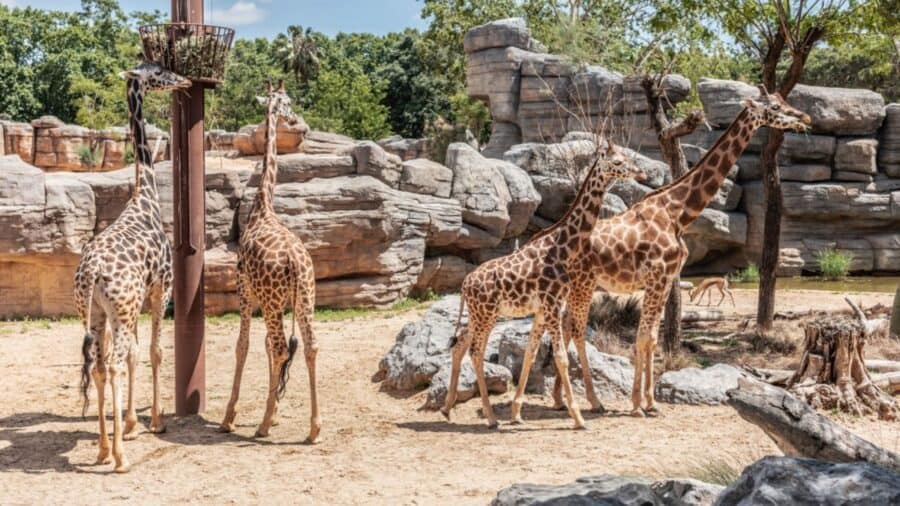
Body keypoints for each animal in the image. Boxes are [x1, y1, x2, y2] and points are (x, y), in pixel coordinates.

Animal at [74, 61, 192, 472]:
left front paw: (130, 424)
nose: (186, 80)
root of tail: (91, 271)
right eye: (158, 72)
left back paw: (102, 449)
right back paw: (120, 458)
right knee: (111, 364)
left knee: (98, 365)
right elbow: (155, 351)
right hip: (121, 310)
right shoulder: (161, 289)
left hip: (94, 312)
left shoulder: (133, 304)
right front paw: (154, 422)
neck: (147, 196)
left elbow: (137, 354)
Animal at [220, 80, 322, 442]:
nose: (294, 118)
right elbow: (261, 345)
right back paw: (314, 428)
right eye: (287, 101)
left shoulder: (244, 289)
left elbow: (244, 344)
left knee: (279, 347)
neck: (263, 206)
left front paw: (230, 416)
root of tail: (294, 261)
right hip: (304, 299)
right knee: (309, 346)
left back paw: (262, 426)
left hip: (272, 301)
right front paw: (274, 409)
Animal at [440, 144, 644, 428]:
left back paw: (447, 408)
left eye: (627, 158)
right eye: (617, 162)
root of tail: (464, 285)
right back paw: (490, 418)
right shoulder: (551, 304)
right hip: (487, 315)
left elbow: (531, 353)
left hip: (479, 315)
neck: (562, 248)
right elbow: (560, 357)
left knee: (460, 344)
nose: (640, 173)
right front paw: (578, 417)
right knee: (476, 352)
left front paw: (517, 413)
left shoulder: (543, 309)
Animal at [552, 89, 812, 418]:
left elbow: (652, 338)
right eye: (775, 107)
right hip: (583, 286)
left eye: (784, 101)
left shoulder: (665, 280)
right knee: (573, 329)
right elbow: (644, 337)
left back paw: (561, 399)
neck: (677, 212)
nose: (805, 118)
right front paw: (638, 404)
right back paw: (587, 400)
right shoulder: (657, 278)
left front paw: (649, 402)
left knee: (564, 328)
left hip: (573, 289)